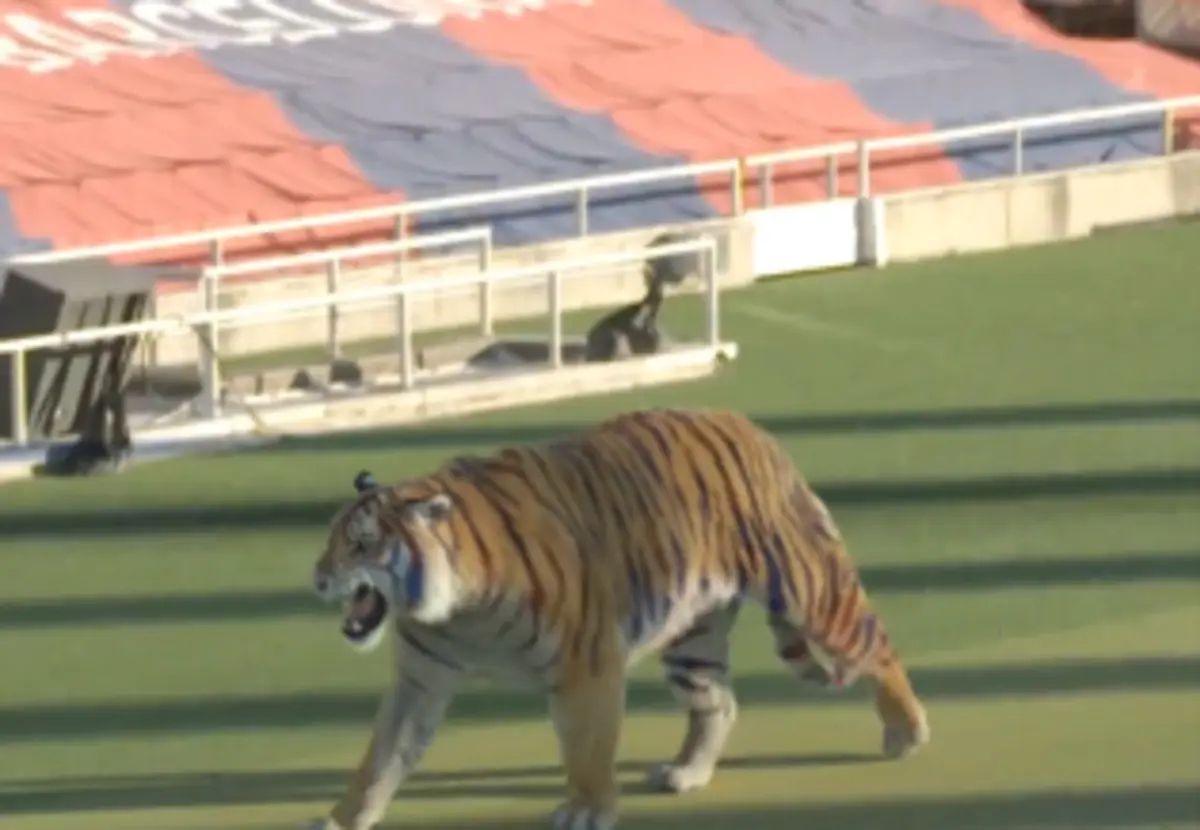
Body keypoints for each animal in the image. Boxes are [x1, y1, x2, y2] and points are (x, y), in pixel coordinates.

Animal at [307, 407, 930, 830]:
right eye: (332, 539)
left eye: (361, 544)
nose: (316, 579)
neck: (455, 611)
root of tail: (751, 427)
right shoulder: (421, 679)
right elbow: (381, 758)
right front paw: (343, 817)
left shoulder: (585, 665)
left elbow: (586, 746)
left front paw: (588, 809)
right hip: (693, 638)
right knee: (719, 704)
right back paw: (687, 773)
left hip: (810, 590)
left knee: (876, 644)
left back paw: (906, 731)